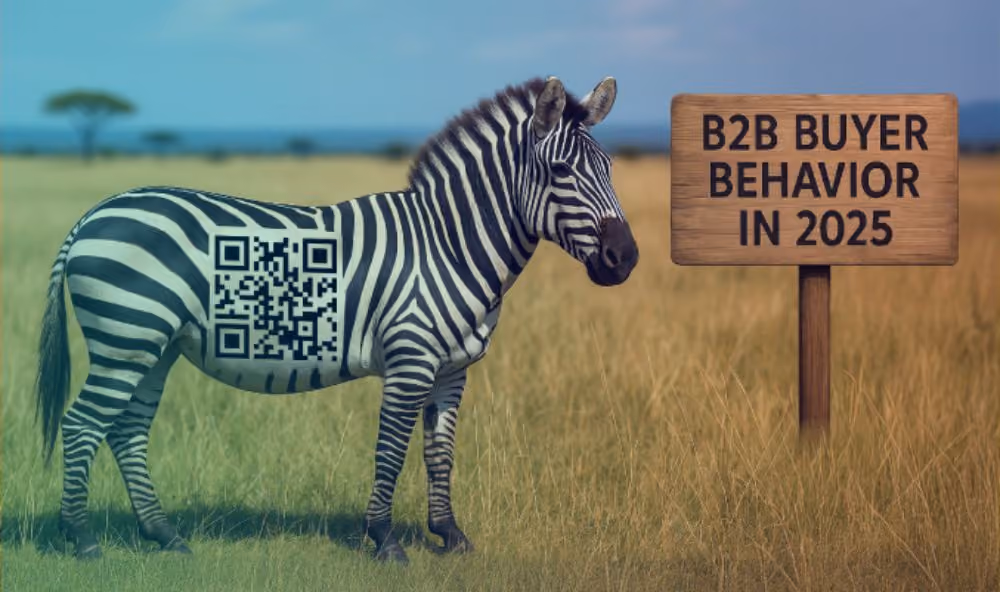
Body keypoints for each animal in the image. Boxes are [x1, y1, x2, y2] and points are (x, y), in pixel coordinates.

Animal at [35, 75, 639, 563]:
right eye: (560, 170)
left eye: (610, 169)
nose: (625, 259)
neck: (448, 245)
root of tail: (94, 214)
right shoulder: (410, 360)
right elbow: (391, 450)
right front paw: (386, 541)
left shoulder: (452, 369)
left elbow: (439, 453)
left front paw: (450, 536)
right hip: (126, 335)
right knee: (83, 423)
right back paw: (82, 539)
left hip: (153, 345)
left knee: (127, 429)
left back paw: (164, 536)